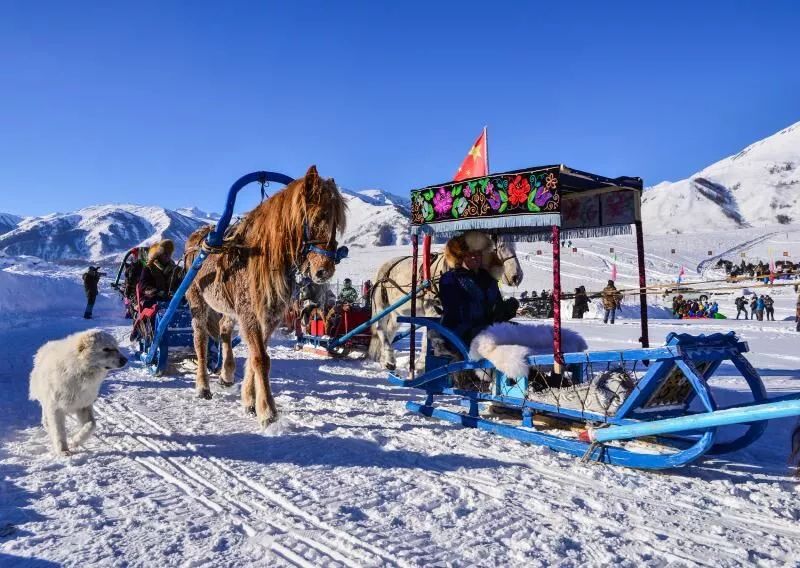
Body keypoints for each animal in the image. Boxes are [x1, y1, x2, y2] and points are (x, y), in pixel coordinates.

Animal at [29, 328, 127, 458]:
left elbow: (91, 425)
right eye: (106, 349)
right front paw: (63, 451)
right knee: (45, 416)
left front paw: (76, 441)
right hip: (45, 400)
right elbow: (59, 432)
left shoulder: (83, 405)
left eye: (117, 347)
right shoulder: (56, 408)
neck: (78, 371)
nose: (125, 360)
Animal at [188, 164, 350, 426]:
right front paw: (267, 411)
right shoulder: (249, 313)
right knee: (200, 339)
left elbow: (257, 355)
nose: (324, 270)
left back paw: (226, 374)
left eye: (336, 222)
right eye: (317, 217)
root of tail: (196, 239)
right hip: (197, 301)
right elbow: (260, 358)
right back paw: (203, 386)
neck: (261, 255)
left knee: (223, 330)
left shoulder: (270, 316)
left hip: (228, 308)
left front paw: (249, 400)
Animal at [368, 233, 524, 370]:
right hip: (382, 307)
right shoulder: (433, 311)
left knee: (390, 331)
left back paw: (385, 360)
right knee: (381, 329)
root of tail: (385, 267)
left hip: (397, 313)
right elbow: (429, 336)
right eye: (501, 246)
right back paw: (389, 359)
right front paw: (421, 366)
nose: (517, 276)